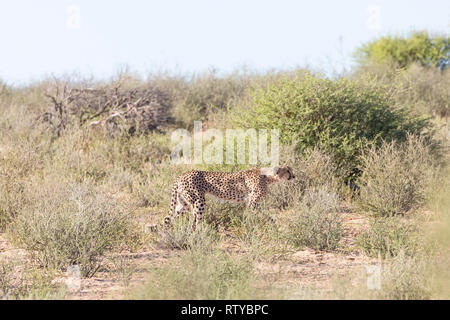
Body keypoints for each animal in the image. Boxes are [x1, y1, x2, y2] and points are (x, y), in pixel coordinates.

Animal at [164, 168, 296, 230]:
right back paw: (200, 233)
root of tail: (182, 174)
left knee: (168, 218)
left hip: (183, 204)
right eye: (288, 171)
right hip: (198, 202)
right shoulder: (252, 203)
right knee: (194, 221)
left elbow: (266, 215)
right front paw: (250, 226)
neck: (268, 177)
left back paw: (168, 234)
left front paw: (273, 224)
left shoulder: (252, 203)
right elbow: (255, 215)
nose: (294, 176)